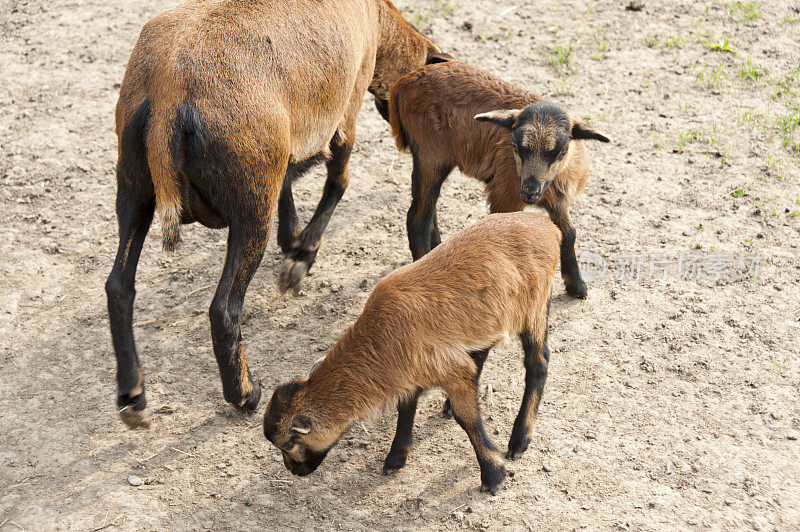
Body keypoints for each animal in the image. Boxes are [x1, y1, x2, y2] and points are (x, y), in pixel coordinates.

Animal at [107, 0, 454, 428]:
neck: (379, 19)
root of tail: (168, 96)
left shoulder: (283, 151)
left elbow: (289, 184)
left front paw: (292, 241)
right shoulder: (346, 112)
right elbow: (338, 182)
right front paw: (301, 258)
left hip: (135, 186)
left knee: (119, 288)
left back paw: (133, 397)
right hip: (251, 202)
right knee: (224, 310)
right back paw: (244, 394)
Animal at [266, 212, 560, 494]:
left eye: (288, 444)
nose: (292, 470)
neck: (379, 338)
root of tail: (546, 226)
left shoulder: (448, 370)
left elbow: (467, 419)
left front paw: (493, 474)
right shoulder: (412, 373)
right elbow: (406, 409)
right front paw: (396, 458)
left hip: (535, 307)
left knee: (538, 364)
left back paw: (520, 439)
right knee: (484, 352)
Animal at [390, 61, 608, 300]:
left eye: (560, 151)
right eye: (515, 146)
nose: (529, 191)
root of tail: (405, 81)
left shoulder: (557, 198)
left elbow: (568, 234)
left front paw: (577, 285)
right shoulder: (505, 195)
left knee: (429, 210)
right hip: (431, 155)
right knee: (417, 218)